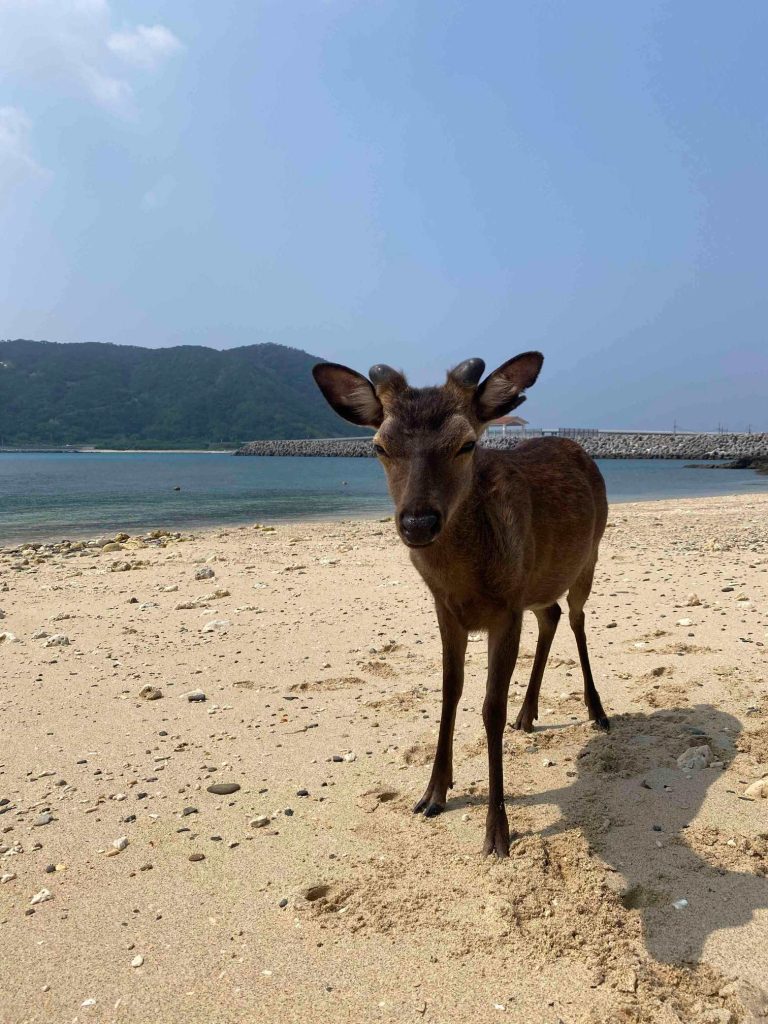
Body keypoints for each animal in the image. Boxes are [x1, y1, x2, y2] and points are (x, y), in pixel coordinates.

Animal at [311, 352, 606, 856]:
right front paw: (433, 793)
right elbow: (450, 691)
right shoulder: (446, 609)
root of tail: (584, 452)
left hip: (590, 554)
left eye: (466, 444)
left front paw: (497, 831)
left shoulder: (506, 610)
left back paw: (597, 711)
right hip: (538, 583)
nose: (418, 522)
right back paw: (528, 714)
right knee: (551, 614)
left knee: (577, 618)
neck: (467, 584)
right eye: (379, 446)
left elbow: (490, 708)